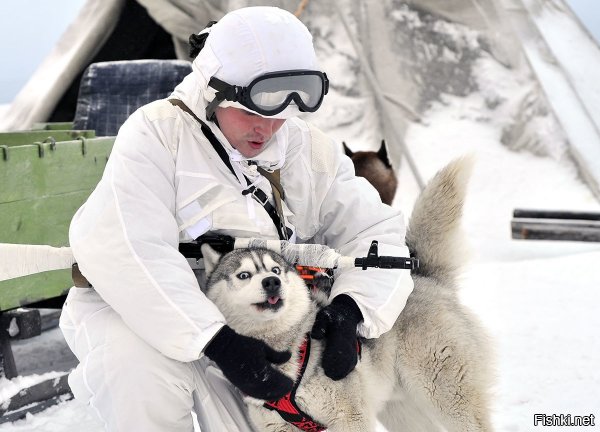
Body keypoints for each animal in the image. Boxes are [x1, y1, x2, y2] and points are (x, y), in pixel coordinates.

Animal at [202, 157, 492, 430]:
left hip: (449, 398)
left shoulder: (351, 417)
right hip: (400, 410)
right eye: (243, 275)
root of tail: (426, 278)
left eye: (276, 269)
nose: (272, 282)